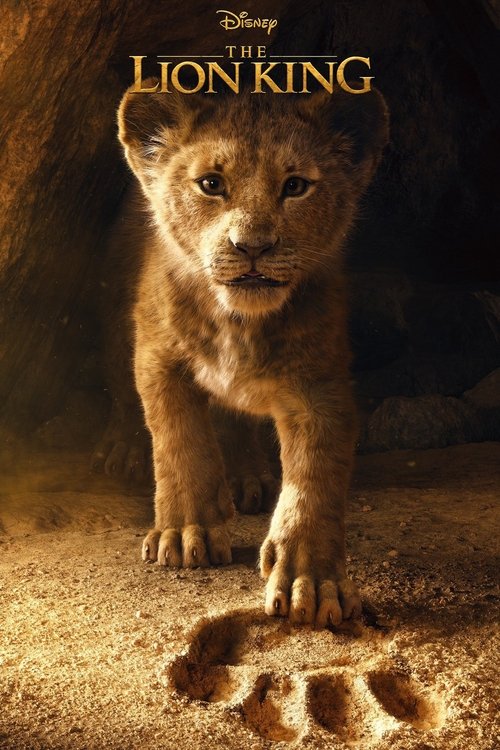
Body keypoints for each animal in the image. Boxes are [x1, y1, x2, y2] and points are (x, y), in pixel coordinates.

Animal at [95, 81, 388, 627]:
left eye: (295, 186)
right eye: (211, 184)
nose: (252, 246)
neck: (239, 322)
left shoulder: (321, 385)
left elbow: (315, 478)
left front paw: (311, 581)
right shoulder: (158, 357)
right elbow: (179, 441)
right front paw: (185, 532)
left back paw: (248, 476)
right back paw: (124, 449)